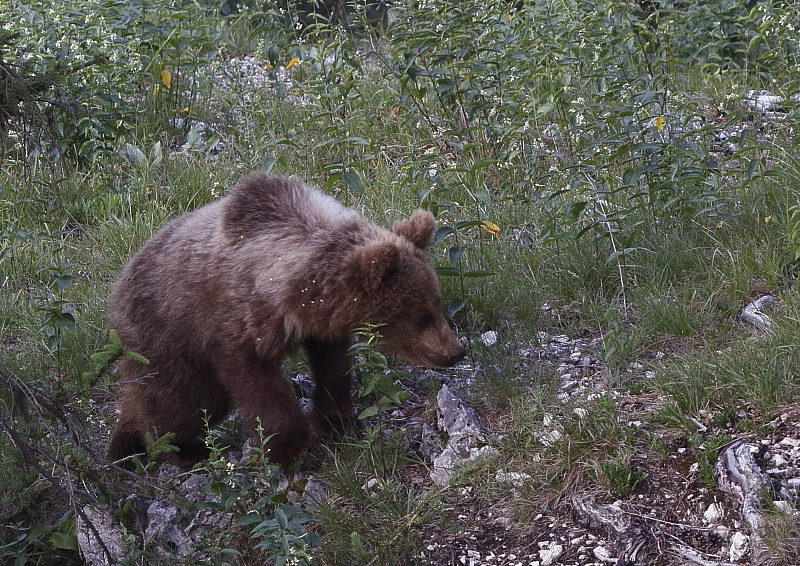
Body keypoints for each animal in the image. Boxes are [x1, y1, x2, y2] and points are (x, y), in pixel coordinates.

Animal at [109, 173, 466, 470]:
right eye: (420, 316)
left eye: (436, 303)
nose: (455, 351)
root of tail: (121, 279)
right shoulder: (236, 318)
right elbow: (253, 379)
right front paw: (283, 446)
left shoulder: (322, 324)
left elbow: (334, 369)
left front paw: (338, 423)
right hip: (166, 331)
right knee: (185, 398)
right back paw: (180, 449)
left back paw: (126, 443)